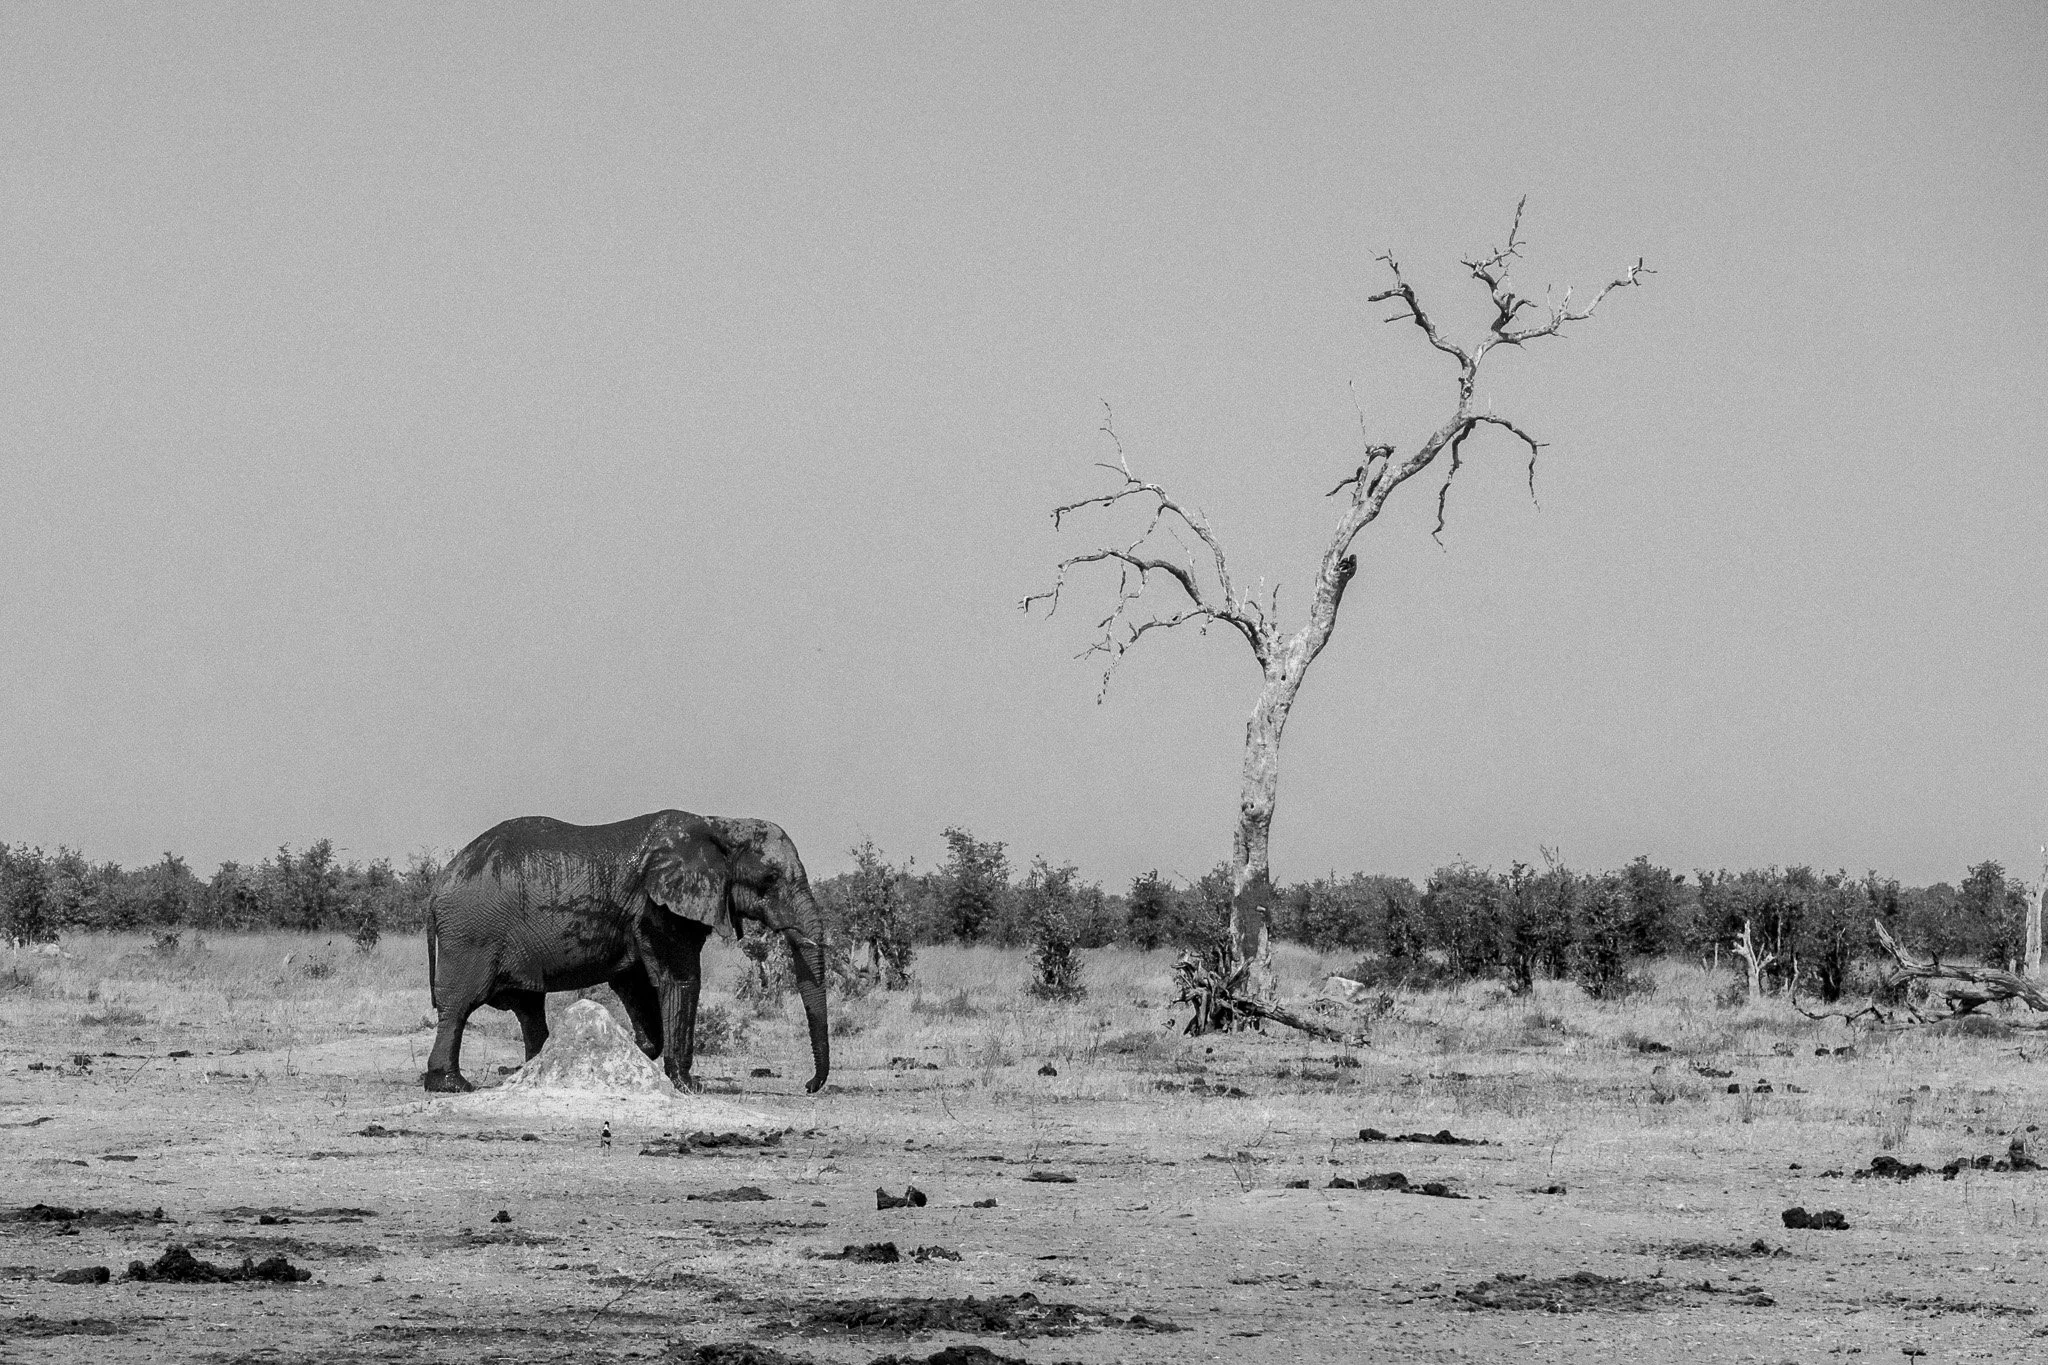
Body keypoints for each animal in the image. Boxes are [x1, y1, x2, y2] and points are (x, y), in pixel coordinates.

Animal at [422, 810, 829, 1095]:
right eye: (770, 880)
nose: (808, 1086)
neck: (720, 824)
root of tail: (438, 885)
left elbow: (633, 983)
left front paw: (632, 1057)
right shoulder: (659, 909)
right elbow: (680, 980)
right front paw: (689, 1086)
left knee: (528, 1008)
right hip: (471, 934)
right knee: (460, 1005)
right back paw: (452, 1085)